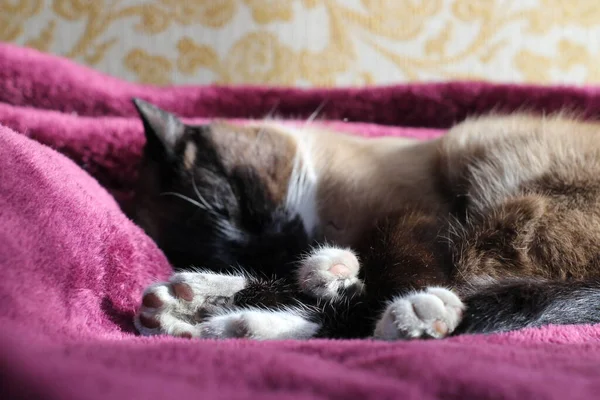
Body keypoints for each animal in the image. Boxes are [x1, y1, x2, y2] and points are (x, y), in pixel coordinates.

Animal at [129, 100, 600, 340]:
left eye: (238, 203)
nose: (282, 249)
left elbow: (382, 281)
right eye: (232, 250)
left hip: (497, 211)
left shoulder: (412, 222)